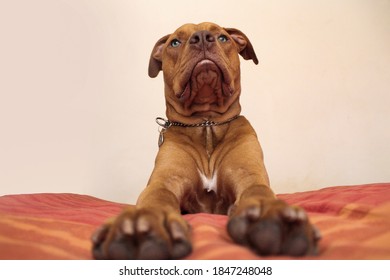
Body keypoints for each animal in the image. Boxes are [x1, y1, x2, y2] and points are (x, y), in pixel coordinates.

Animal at [91, 21, 320, 260]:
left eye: (223, 38)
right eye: (175, 42)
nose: (201, 37)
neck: (206, 125)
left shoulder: (248, 174)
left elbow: (258, 190)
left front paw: (271, 214)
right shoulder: (165, 180)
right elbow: (157, 197)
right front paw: (144, 222)